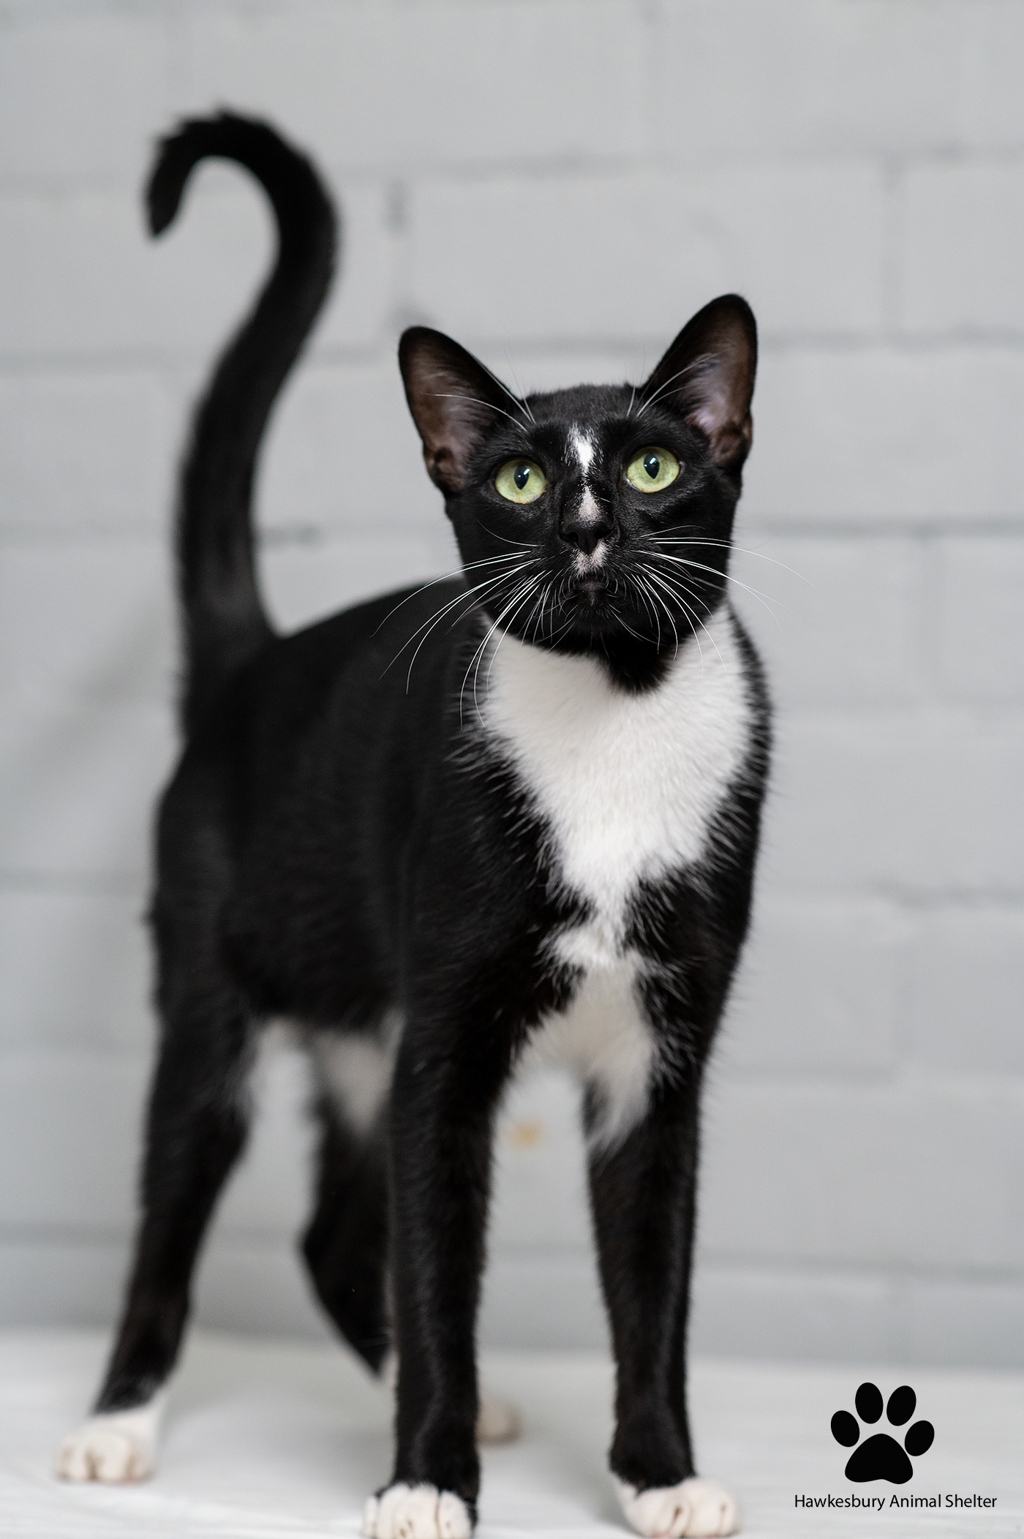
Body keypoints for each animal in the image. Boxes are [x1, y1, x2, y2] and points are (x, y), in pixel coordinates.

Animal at [56, 113, 770, 1539]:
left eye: (654, 466)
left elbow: (652, 1281)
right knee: (180, 1205)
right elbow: (439, 1265)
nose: (586, 531)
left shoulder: (660, 1060)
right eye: (518, 477)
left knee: (333, 1236)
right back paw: (118, 1422)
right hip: (216, 994)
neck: (615, 718)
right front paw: (428, 1479)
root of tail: (253, 664)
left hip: (355, 1021)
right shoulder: (442, 1046)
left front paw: (658, 1474)